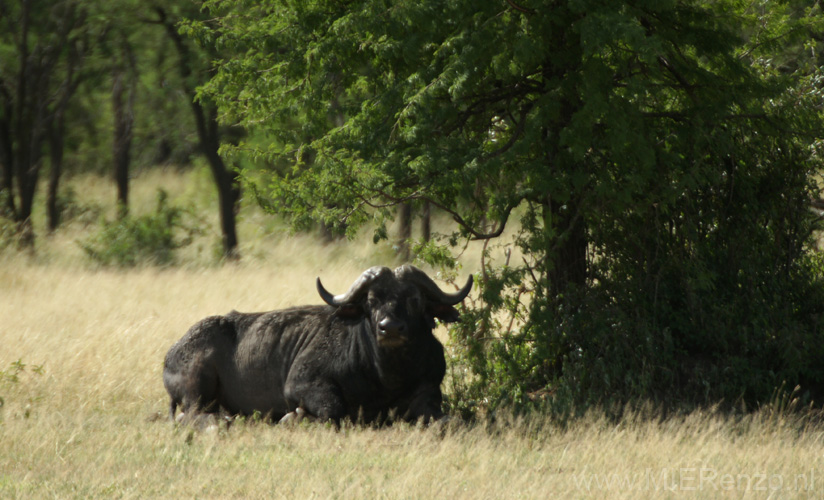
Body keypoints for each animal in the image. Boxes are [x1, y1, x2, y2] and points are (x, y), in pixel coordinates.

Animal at [163, 264, 470, 424]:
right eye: (372, 300)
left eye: (415, 299)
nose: (390, 327)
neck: (386, 376)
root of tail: (173, 351)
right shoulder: (301, 384)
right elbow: (334, 410)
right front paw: (295, 417)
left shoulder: (428, 392)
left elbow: (449, 420)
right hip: (196, 387)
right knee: (192, 414)